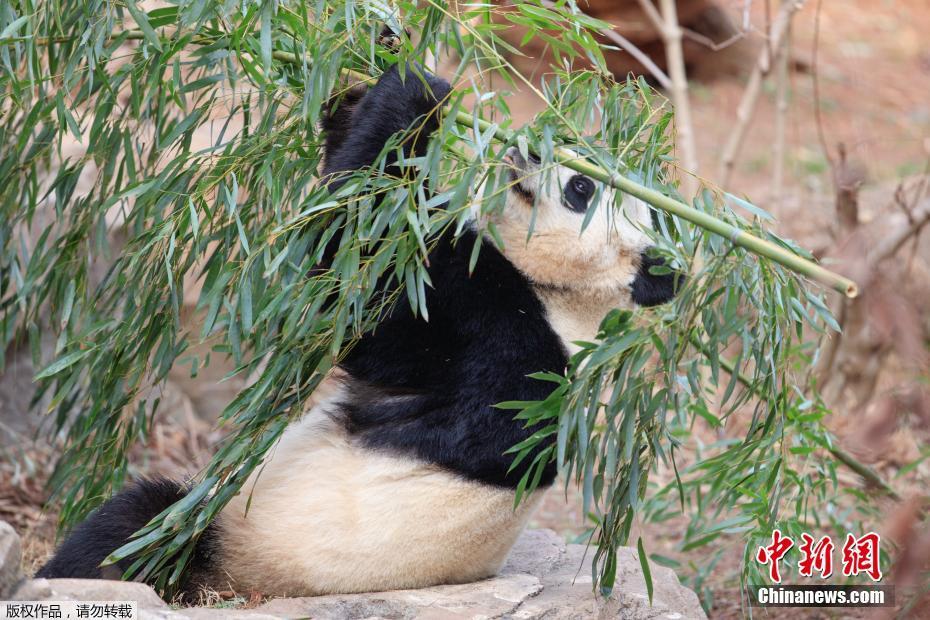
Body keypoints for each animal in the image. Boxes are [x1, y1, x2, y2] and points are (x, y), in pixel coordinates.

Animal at [38, 60, 676, 600]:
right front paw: (355, 83)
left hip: (239, 548)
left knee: (131, 530)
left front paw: (417, 93)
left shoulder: (499, 340)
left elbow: (362, 282)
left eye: (580, 188)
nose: (531, 145)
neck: (569, 297)